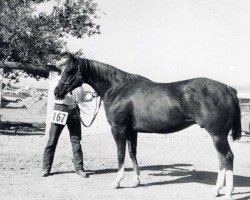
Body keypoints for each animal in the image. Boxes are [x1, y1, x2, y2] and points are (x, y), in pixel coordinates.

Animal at [54, 53, 240, 200]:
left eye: (69, 71)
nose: (57, 92)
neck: (116, 88)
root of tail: (227, 89)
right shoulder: (131, 131)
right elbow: (132, 154)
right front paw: (136, 181)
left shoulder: (118, 128)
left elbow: (120, 154)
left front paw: (117, 181)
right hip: (217, 136)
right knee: (221, 159)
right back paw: (216, 191)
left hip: (218, 135)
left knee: (227, 157)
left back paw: (228, 193)